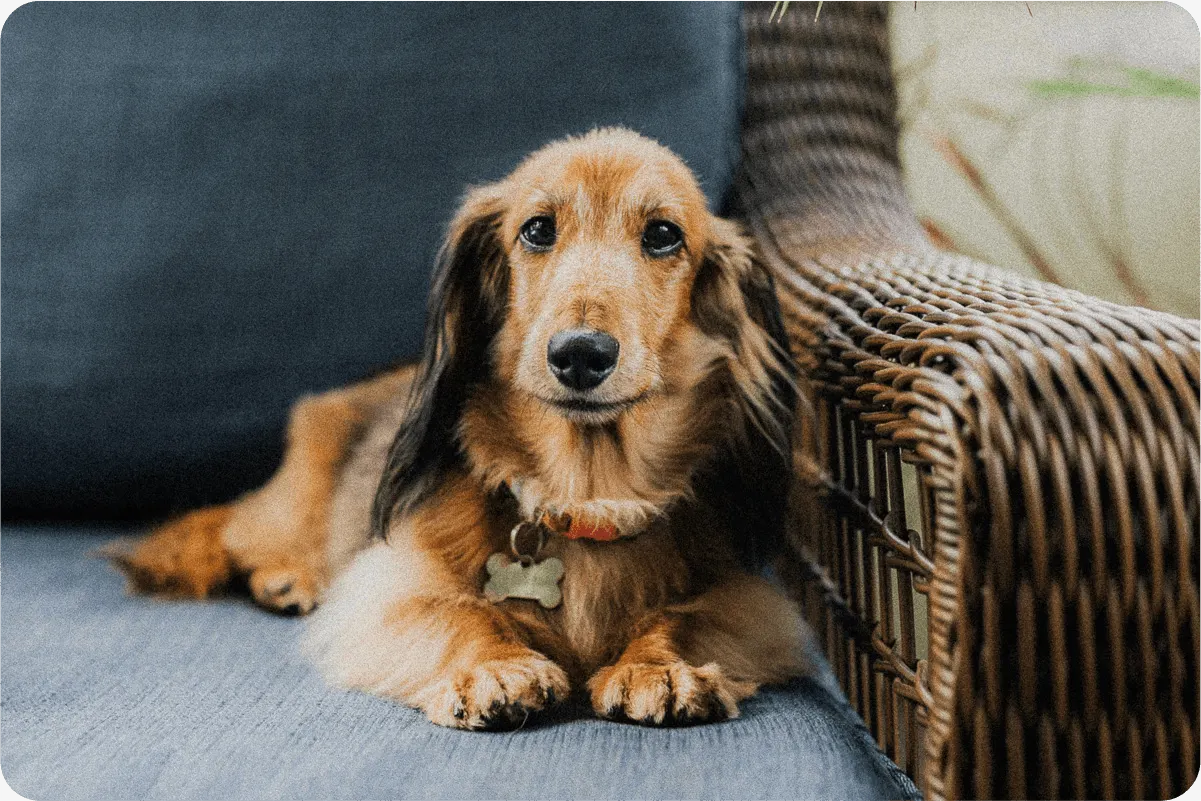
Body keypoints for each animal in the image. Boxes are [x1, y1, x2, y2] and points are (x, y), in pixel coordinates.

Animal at [108, 126, 811, 734]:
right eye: (537, 229)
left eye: (664, 234)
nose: (580, 354)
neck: (581, 497)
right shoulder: (390, 589)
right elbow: (460, 612)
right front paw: (494, 668)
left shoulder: (744, 601)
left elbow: (682, 616)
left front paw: (659, 665)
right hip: (295, 497)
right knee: (240, 534)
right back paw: (290, 578)